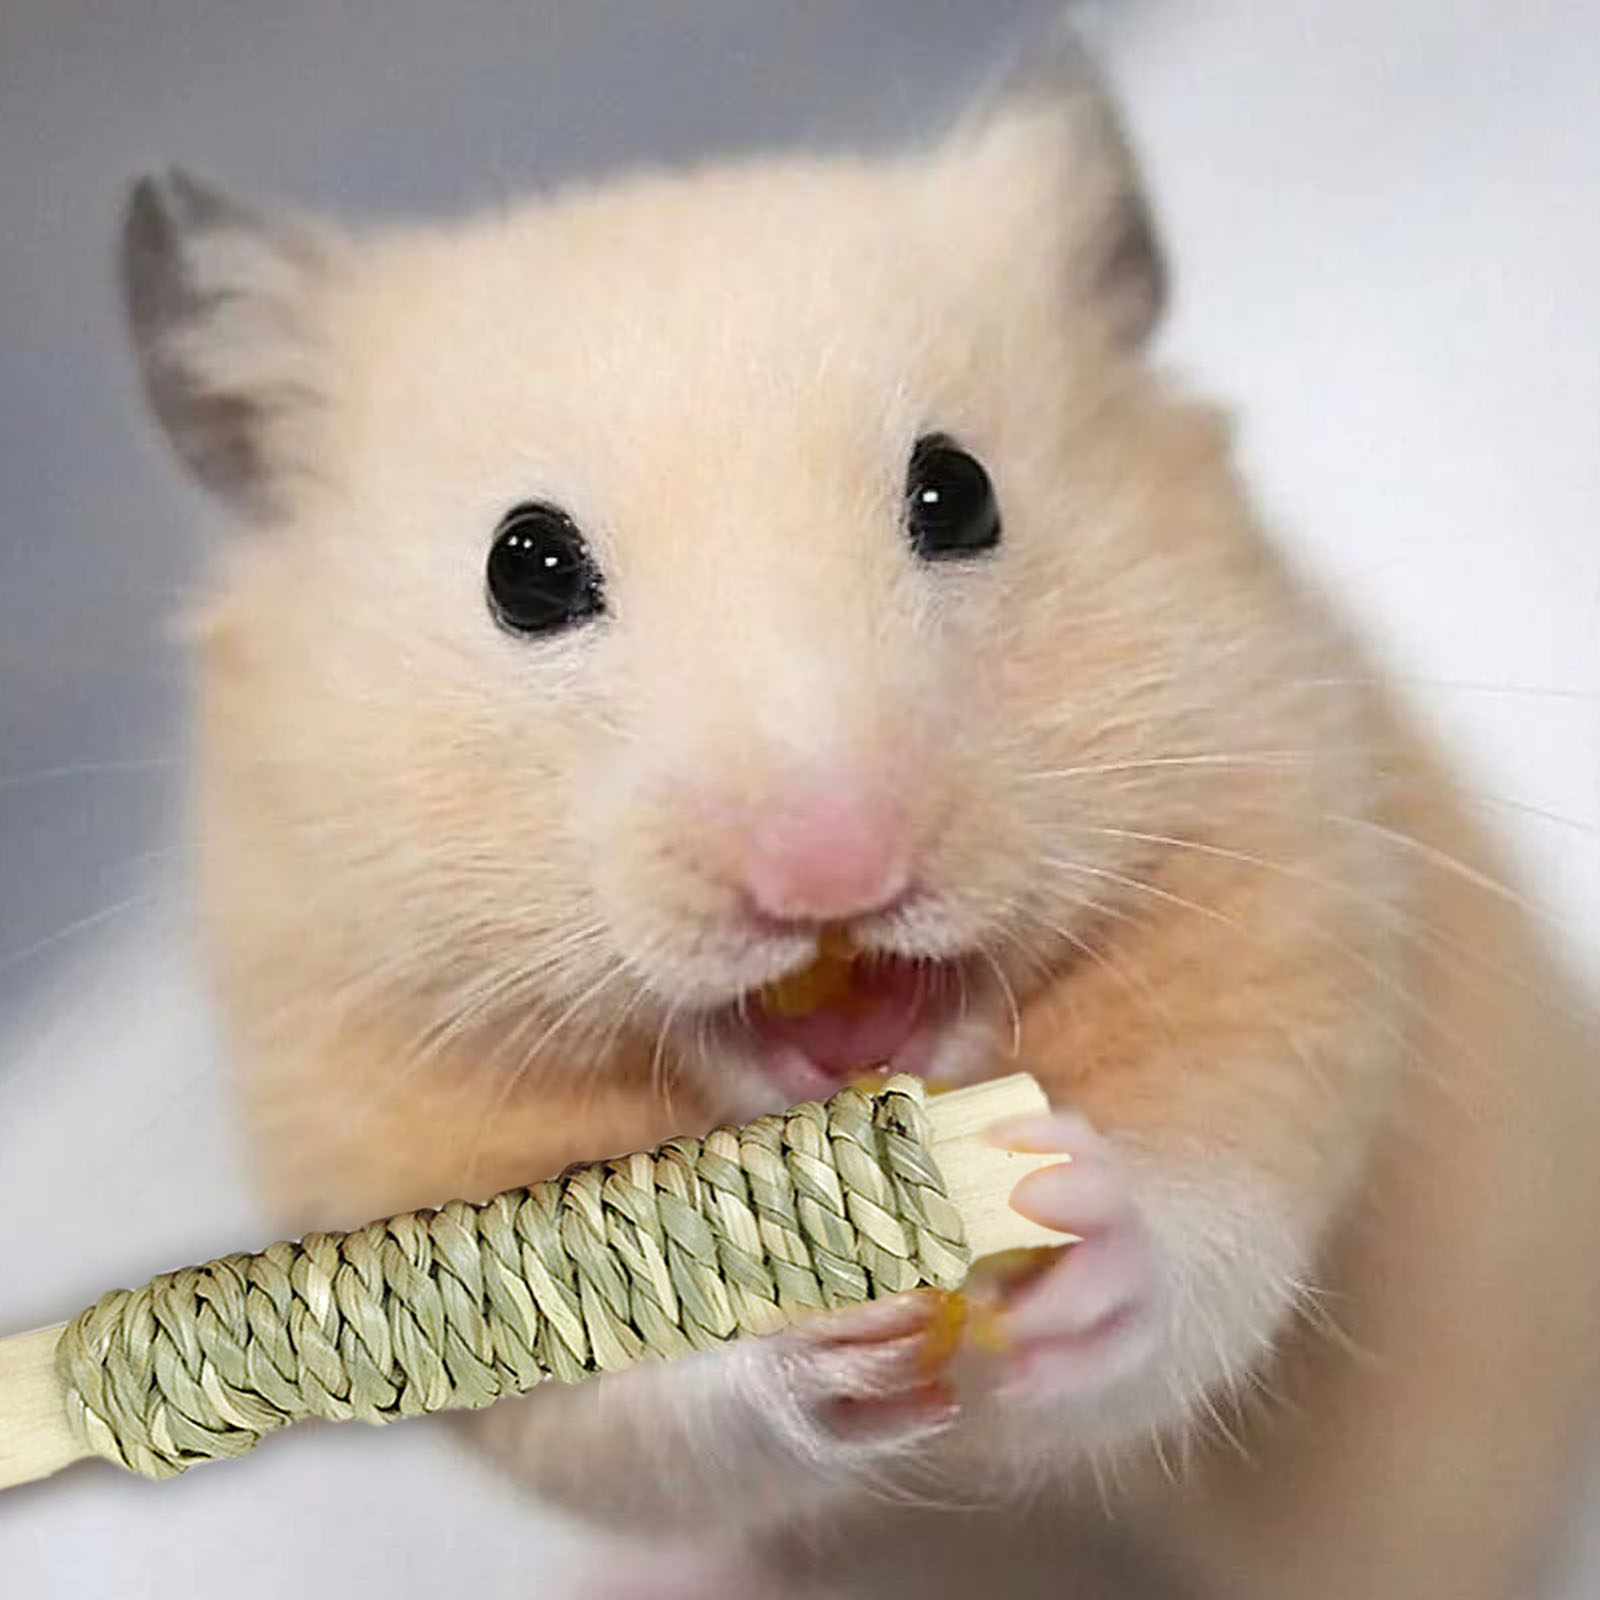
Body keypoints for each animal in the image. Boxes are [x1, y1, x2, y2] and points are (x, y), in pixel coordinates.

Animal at [117, 19, 1600, 1600]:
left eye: (957, 493)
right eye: (525, 568)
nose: (831, 875)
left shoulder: (1275, 913)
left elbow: (1211, 1229)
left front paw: (1081, 1233)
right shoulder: (371, 1107)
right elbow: (606, 1400)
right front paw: (806, 1327)